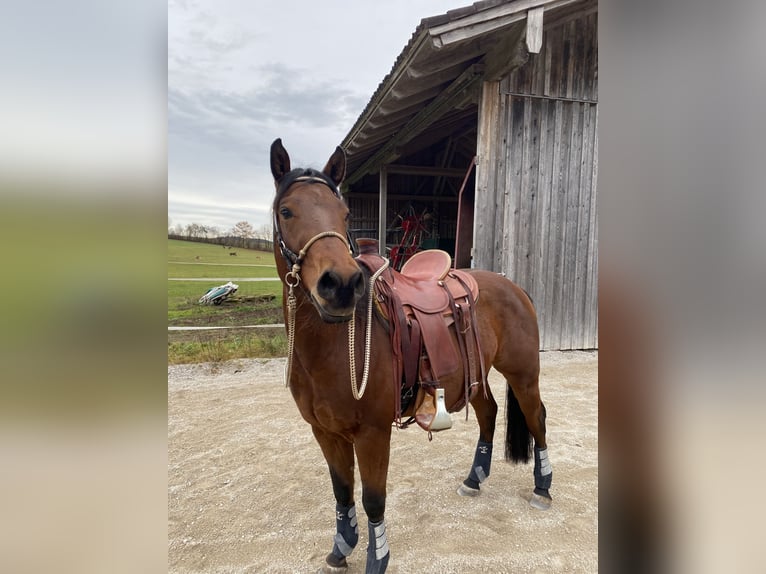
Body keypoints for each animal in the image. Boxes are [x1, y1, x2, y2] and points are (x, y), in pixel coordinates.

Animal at [269, 138, 552, 574]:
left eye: (344, 214)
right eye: (286, 211)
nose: (341, 284)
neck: (333, 346)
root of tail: (514, 286)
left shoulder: (372, 432)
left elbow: (372, 499)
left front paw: (376, 558)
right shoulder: (324, 432)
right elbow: (342, 492)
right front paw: (341, 548)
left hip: (523, 374)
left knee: (536, 417)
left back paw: (543, 487)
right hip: (475, 376)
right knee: (488, 412)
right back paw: (474, 479)